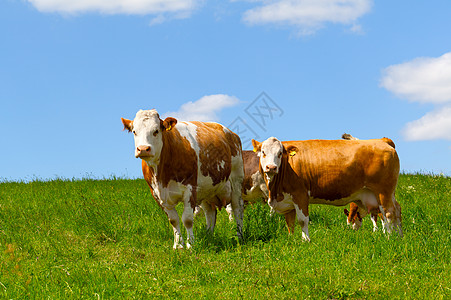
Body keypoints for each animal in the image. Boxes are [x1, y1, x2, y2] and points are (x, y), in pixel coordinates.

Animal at [121, 109, 244, 248]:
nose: (143, 149)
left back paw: (239, 236)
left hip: (236, 180)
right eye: (134, 131)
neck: (161, 176)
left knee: (237, 209)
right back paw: (209, 237)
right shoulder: (157, 195)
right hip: (207, 191)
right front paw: (178, 245)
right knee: (210, 213)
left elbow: (187, 219)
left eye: (156, 131)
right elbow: (173, 220)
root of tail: (230, 132)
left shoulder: (190, 189)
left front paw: (191, 245)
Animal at [252, 137, 404, 241]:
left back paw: (389, 238)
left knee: (389, 213)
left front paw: (306, 241)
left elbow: (302, 220)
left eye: (279, 153)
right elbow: (290, 223)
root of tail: (381, 140)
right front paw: (292, 240)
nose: (271, 167)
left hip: (383, 191)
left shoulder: (300, 194)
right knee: (396, 210)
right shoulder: (287, 200)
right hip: (385, 194)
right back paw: (399, 236)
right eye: (263, 152)